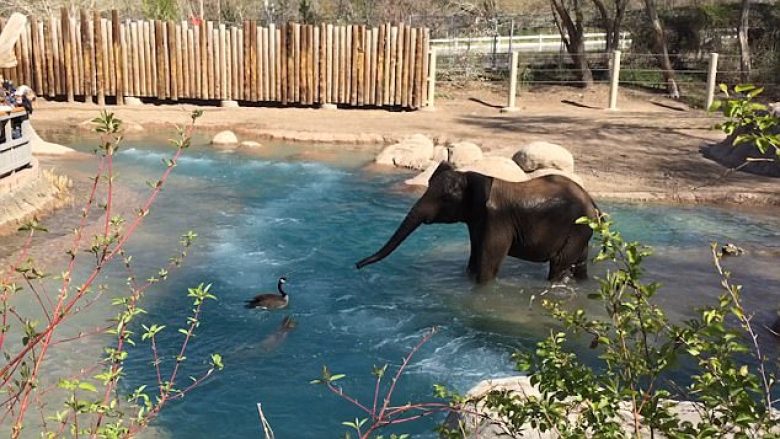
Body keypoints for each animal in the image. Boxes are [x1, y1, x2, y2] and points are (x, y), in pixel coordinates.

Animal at [356, 163, 600, 284]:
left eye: (445, 198)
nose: (357, 266)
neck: (474, 175)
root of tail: (593, 204)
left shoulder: (498, 220)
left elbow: (487, 266)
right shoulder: (477, 221)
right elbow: (474, 258)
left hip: (577, 227)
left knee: (558, 265)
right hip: (581, 230)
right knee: (578, 265)